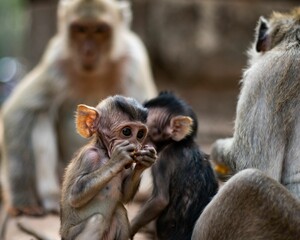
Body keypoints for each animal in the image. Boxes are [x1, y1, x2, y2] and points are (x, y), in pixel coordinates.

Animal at [0, 0, 157, 217]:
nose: (88, 51)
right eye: (80, 29)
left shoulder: (134, 59)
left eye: (100, 30)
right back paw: (50, 197)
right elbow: (21, 110)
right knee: (41, 116)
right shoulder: (56, 59)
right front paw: (22, 199)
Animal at [59, 95, 157, 240]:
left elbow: (124, 196)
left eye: (140, 134)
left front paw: (144, 161)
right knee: (97, 220)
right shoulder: (89, 156)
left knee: (119, 211)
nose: (136, 146)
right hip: (70, 235)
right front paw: (119, 157)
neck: (105, 153)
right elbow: (75, 195)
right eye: (127, 131)